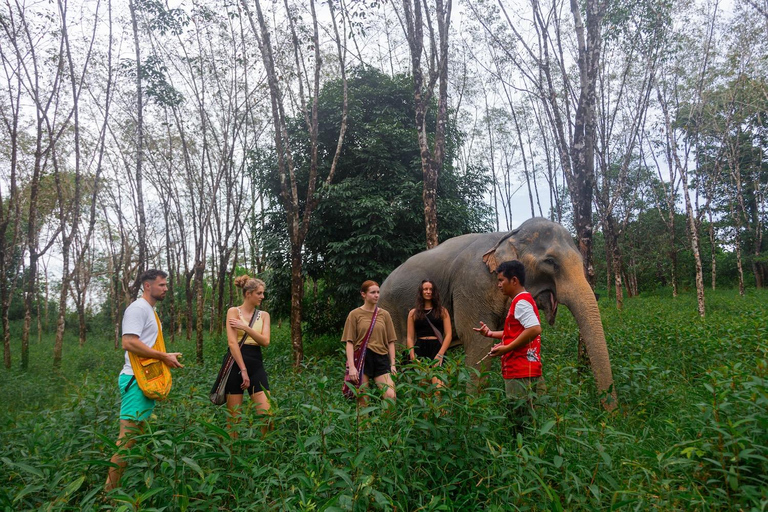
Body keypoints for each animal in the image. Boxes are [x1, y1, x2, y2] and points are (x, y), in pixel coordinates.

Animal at [382, 218, 616, 410]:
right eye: (550, 262)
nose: (611, 415)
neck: (509, 234)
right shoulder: (472, 285)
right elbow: (477, 343)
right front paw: (474, 416)